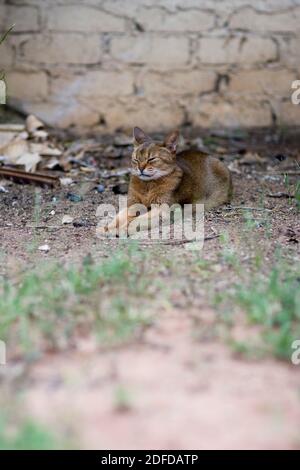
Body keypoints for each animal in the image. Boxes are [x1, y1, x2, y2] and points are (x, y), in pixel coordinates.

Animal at [98, 126, 232, 237]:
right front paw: (108, 228)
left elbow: (139, 219)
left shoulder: (163, 209)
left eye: (151, 159)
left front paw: (125, 229)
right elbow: (119, 216)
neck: (147, 186)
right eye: (136, 160)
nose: (140, 168)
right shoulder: (133, 204)